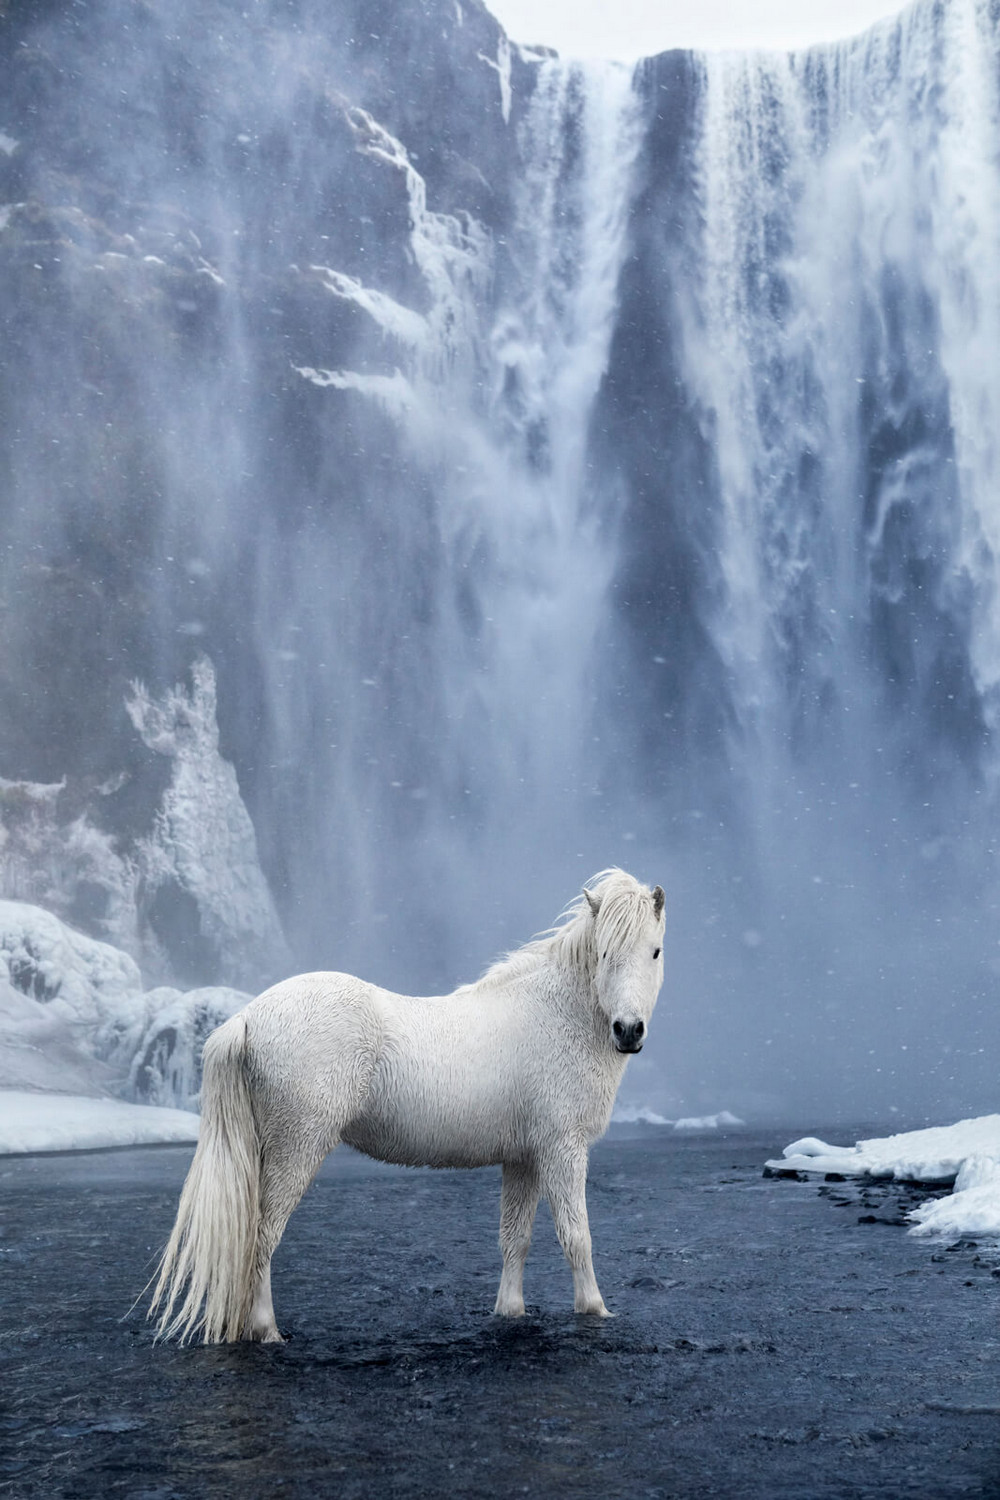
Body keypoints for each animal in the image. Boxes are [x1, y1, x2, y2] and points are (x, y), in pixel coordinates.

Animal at [150, 870, 665, 1350]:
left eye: (655, 951)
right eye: (603, 953)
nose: (628, 1030)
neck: (555, 1015)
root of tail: (247, 1017)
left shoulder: (523, 1158)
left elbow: (514, 1238)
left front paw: (510, 1311)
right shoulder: (563, 1149)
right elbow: (577, 1235)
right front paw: (594, 1309)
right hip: (295, 1149)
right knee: (262, 1237)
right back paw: (267, 1331)